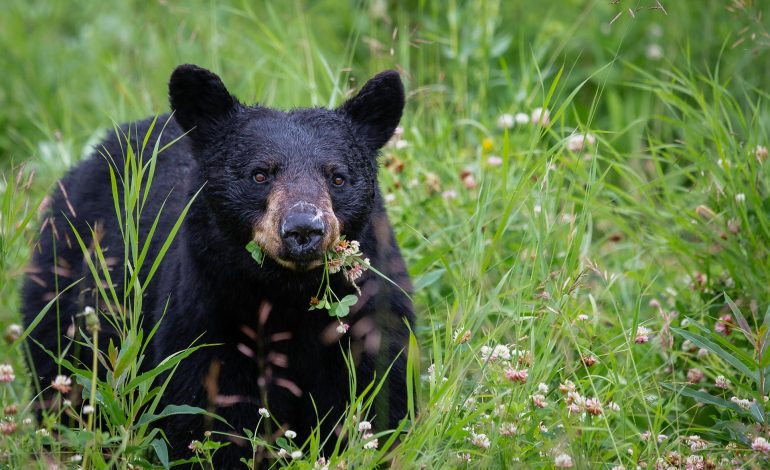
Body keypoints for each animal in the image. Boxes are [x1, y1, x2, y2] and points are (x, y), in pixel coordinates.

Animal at [21, 65, 414, 466]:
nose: (304, 228)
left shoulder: (370, 316)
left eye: (337, 177)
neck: (288, 296)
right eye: (260, 174)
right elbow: (209, 414)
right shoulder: (206, 317)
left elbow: (379, 400)